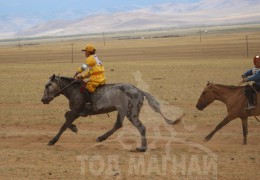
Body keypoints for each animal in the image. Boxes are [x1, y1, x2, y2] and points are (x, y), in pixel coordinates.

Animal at [40, 74, 183, 151]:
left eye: (47, 86)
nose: (43, 100)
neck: (74, 90)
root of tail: (139, 91)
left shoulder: (76, 112)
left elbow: (64, 125)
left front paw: (52, 141)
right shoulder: (74, 112)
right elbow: (66, 118)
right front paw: (74, 128)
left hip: (131, 114)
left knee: (141, 128)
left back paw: (142, 148)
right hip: (122, 111)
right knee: (118, 125)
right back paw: (101, 138)